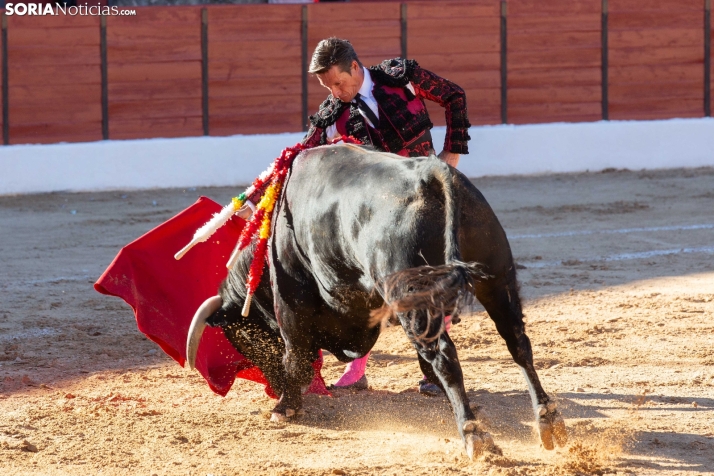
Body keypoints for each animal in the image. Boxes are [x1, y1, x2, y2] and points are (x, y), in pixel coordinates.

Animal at [186, 144, 564, 458]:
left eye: (243, 336)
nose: (272, 386)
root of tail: (432, 174)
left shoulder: (291, 298)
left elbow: (295, 352)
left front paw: (284, 408)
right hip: (498, 276)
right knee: (517, 342)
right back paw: (548, 421)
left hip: (413, 294)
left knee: (445, 355)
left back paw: (474, 435)